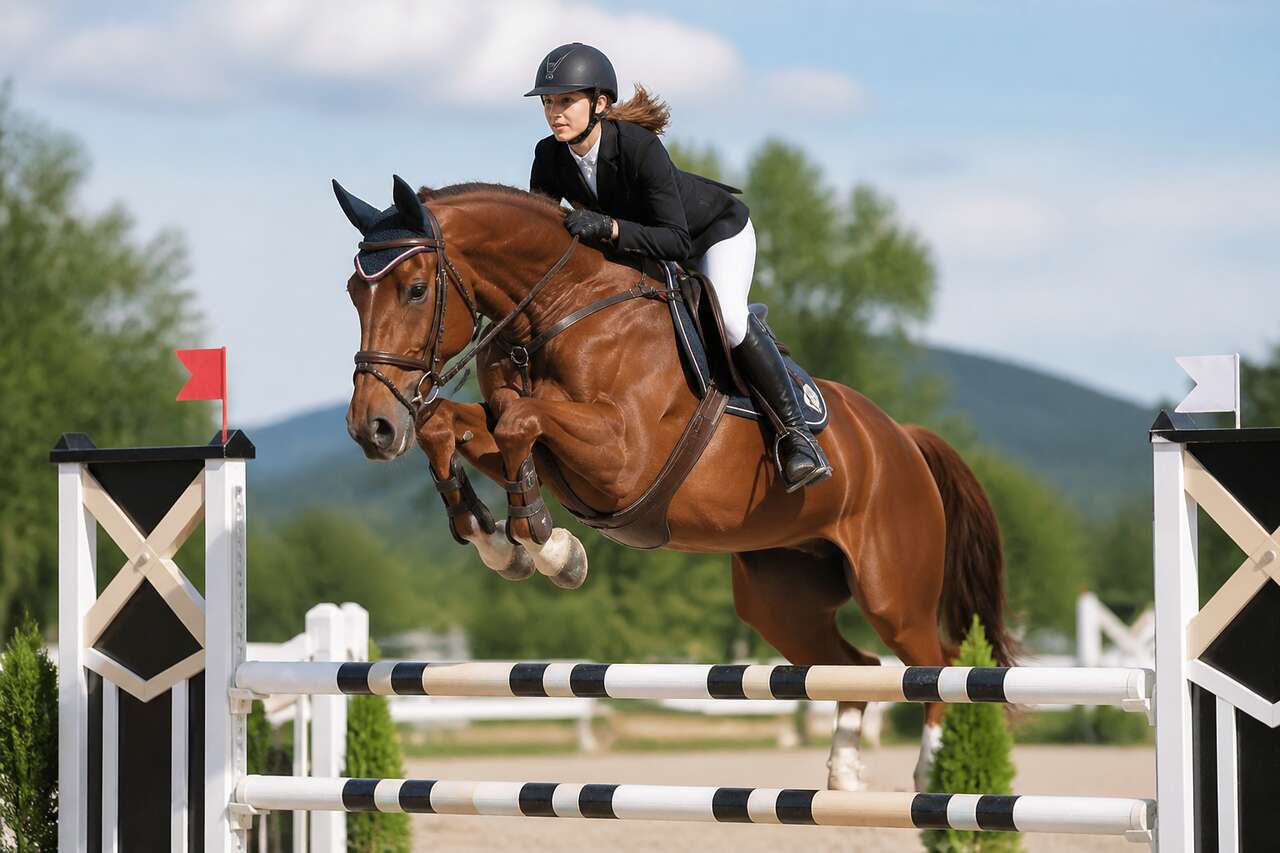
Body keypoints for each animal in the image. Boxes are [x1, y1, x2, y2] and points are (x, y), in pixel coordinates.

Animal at [336, 175, 1013, 790]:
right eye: (352, 292)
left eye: (416, 289)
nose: (372, 428)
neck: (558, 308)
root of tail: (901, 437)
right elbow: (455, 426)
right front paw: (500, 540)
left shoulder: (622, 456)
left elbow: (517, 420)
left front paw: (550, 547)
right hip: (781, 598)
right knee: (855, 666)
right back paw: (844, 771)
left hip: (891, 590)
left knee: (935, 665)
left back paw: (935, 773)